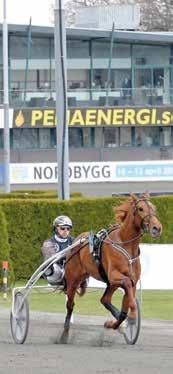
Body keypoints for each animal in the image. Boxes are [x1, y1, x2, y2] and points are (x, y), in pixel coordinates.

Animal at [63, 194, 162, 332]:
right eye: (141, 209)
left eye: (154, 207)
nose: (156, 228)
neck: (126, 244)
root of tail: (76, 240)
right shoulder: (114, 275)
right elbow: (127, 285)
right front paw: (132, 315)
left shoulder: (131, 280)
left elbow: (126, 303)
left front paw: (116, 322)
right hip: (73, 279)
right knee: (70, 304)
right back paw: (66, 327)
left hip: (110, 284)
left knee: (105, 299)